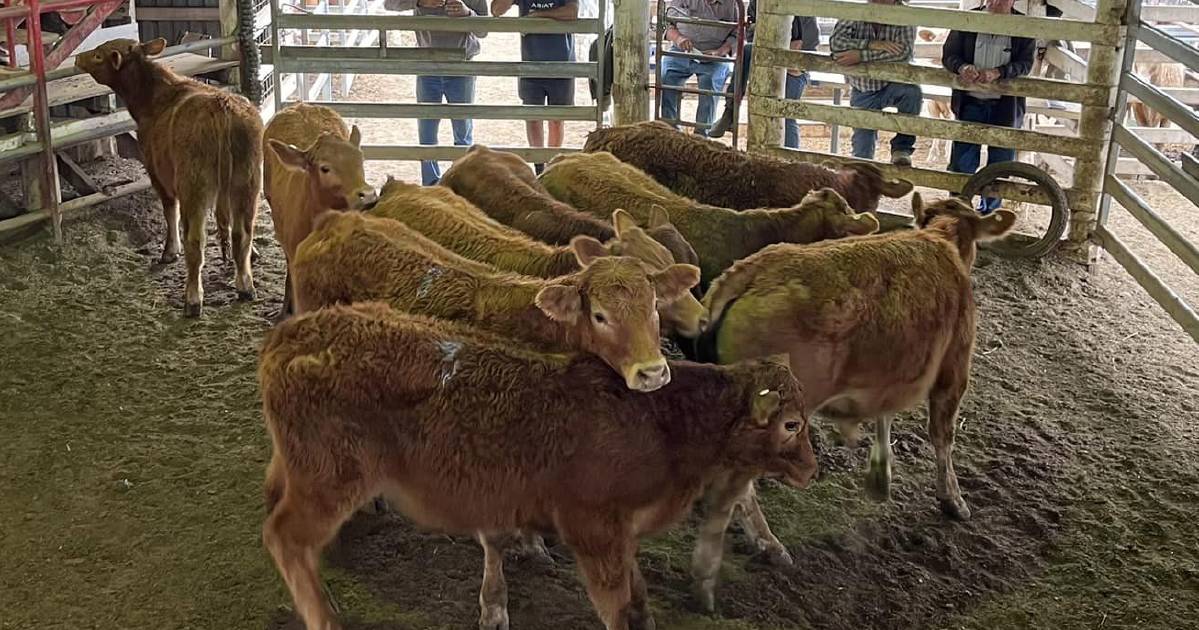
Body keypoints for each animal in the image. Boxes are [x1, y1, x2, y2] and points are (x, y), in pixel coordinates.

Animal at [76, 38, 262, 314]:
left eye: (98, 55)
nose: (78, 58)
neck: (156, 98)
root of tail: (222, 108)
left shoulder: (157, 174)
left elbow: (168, 211)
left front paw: (169, 252)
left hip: (194, 187)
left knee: (195, 241)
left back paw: (193, 299)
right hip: (247, 183)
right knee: (243, 234)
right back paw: (245, 286)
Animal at [255, 303, 815, 628]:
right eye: (791, 423)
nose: (812, 468)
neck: (662, 421)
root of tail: (295, 332)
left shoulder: (623, 534)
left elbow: (638, 601)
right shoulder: (593, 529)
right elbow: (618, 606)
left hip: (299, 468)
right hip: (331, 478)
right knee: (283, 535)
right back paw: (325, 616)